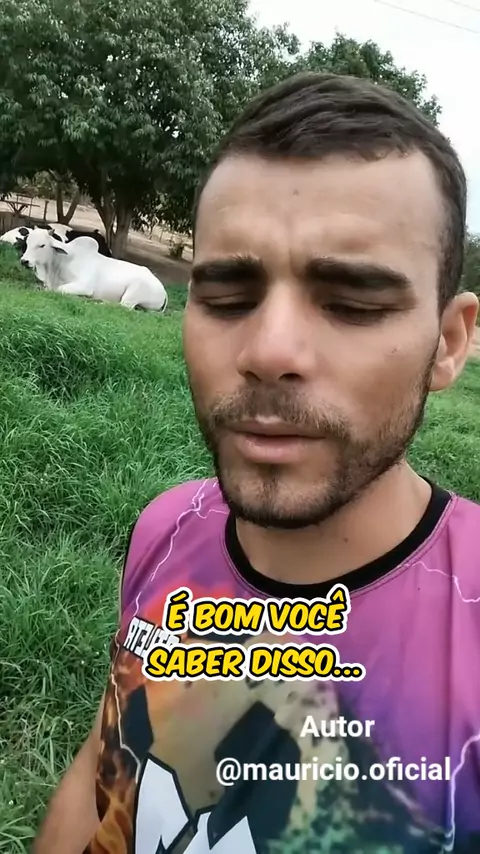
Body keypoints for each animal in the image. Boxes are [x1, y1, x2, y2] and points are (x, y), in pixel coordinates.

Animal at [20, 228, 168, 312]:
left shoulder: (84, 285)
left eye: (42, 245)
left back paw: (98, 302)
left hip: (132, 293)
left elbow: (59, 290)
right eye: (27, 243)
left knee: (124, 307)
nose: (24, 261)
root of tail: (164, 291)